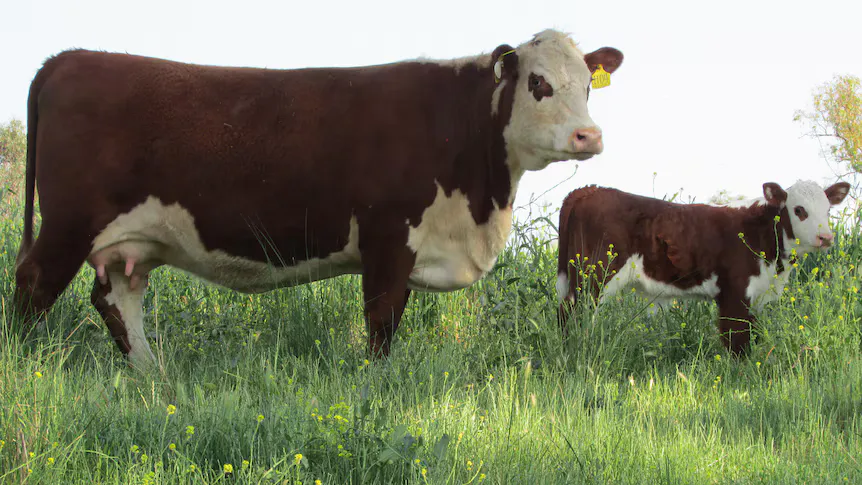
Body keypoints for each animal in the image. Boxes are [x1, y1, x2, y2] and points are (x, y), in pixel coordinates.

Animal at [13, 29, 624, 367]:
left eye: (588, 86)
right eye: (539, 83)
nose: (588, 136)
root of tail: (68, 58)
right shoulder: (387, 238)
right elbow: (382, 323)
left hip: (128, 240)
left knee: (117, 298)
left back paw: (154, 376)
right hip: (68, 222)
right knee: (34, 284)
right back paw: (22, 366)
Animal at [556, 180, 850, 354]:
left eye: (828, 210)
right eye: (799, 210)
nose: (826, 237)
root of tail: (587, 190)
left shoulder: (756, 296)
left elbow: (752, 332)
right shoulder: (734, 293)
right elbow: (737, 338)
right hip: (593, 277)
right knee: (574, 312)